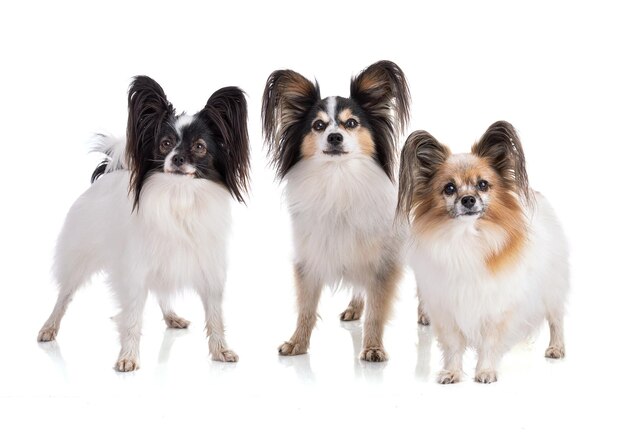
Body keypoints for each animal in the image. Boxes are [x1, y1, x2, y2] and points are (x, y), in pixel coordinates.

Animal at [36, 75, 249, 372]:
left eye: (199, 147)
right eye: (165, 144)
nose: (177, 158)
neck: (179, 196)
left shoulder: (208, 266)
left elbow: (215, 314)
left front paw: (221, 351)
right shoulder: (135, 269)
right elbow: (133, 316)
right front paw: (128, 356)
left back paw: (171, 317)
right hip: (79, 257)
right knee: (64, 294)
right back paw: (49, 327)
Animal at [260, 61, 410, 362]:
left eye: (351, 123)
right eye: (318, 126)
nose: (335, 137)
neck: (337, 180)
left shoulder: (384, 262)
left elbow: (377, 310)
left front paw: (373, 347)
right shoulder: (310, 255)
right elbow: (306, 308)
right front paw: (297, 343)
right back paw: (354, 308)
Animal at [398, 120, 568, 384]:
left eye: (483, 185)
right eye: (449, 188)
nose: (468, 199)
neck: (466, 237)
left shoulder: (495, 307)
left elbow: (490, 342)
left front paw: (486, 371)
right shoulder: (446, 306)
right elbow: (453, 345)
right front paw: (452, 372)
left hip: (552, 289)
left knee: (556, 320)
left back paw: (556, 348)